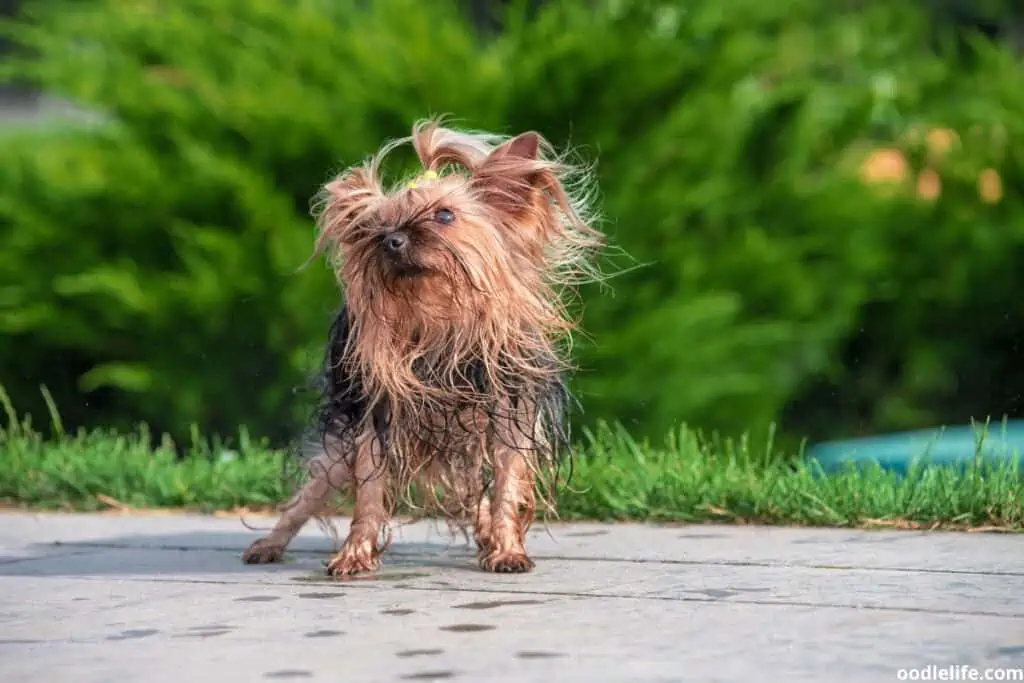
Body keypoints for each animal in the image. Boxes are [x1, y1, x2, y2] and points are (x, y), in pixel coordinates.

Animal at [242, 118, 602, 577]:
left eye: (444, 215)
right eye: (373, 228)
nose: (391, 239)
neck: (438, 321)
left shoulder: (510, 415)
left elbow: (506, 483)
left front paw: (506, 549)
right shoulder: (375, 421)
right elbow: (368, 495)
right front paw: (354, 553)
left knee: (471, 490)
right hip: (342, 443)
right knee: (309, 493)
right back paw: (268, 545)